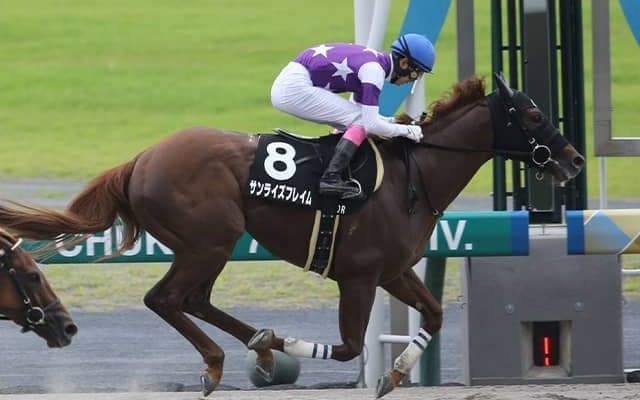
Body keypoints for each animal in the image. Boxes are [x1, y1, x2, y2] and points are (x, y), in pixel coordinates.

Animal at [0, 73, 583, 398]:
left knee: (194, 299)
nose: (575, 160)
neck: (410, 178)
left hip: (209, 245)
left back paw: (252, 347)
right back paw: (223, 361)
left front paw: (394, 373)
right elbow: (347, 347)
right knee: (166, 298)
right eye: (534, 114)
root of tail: (141, 158)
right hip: (212, 240)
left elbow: (435, 315)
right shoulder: (359, 276)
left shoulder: (393, 271)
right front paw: (289, 349)